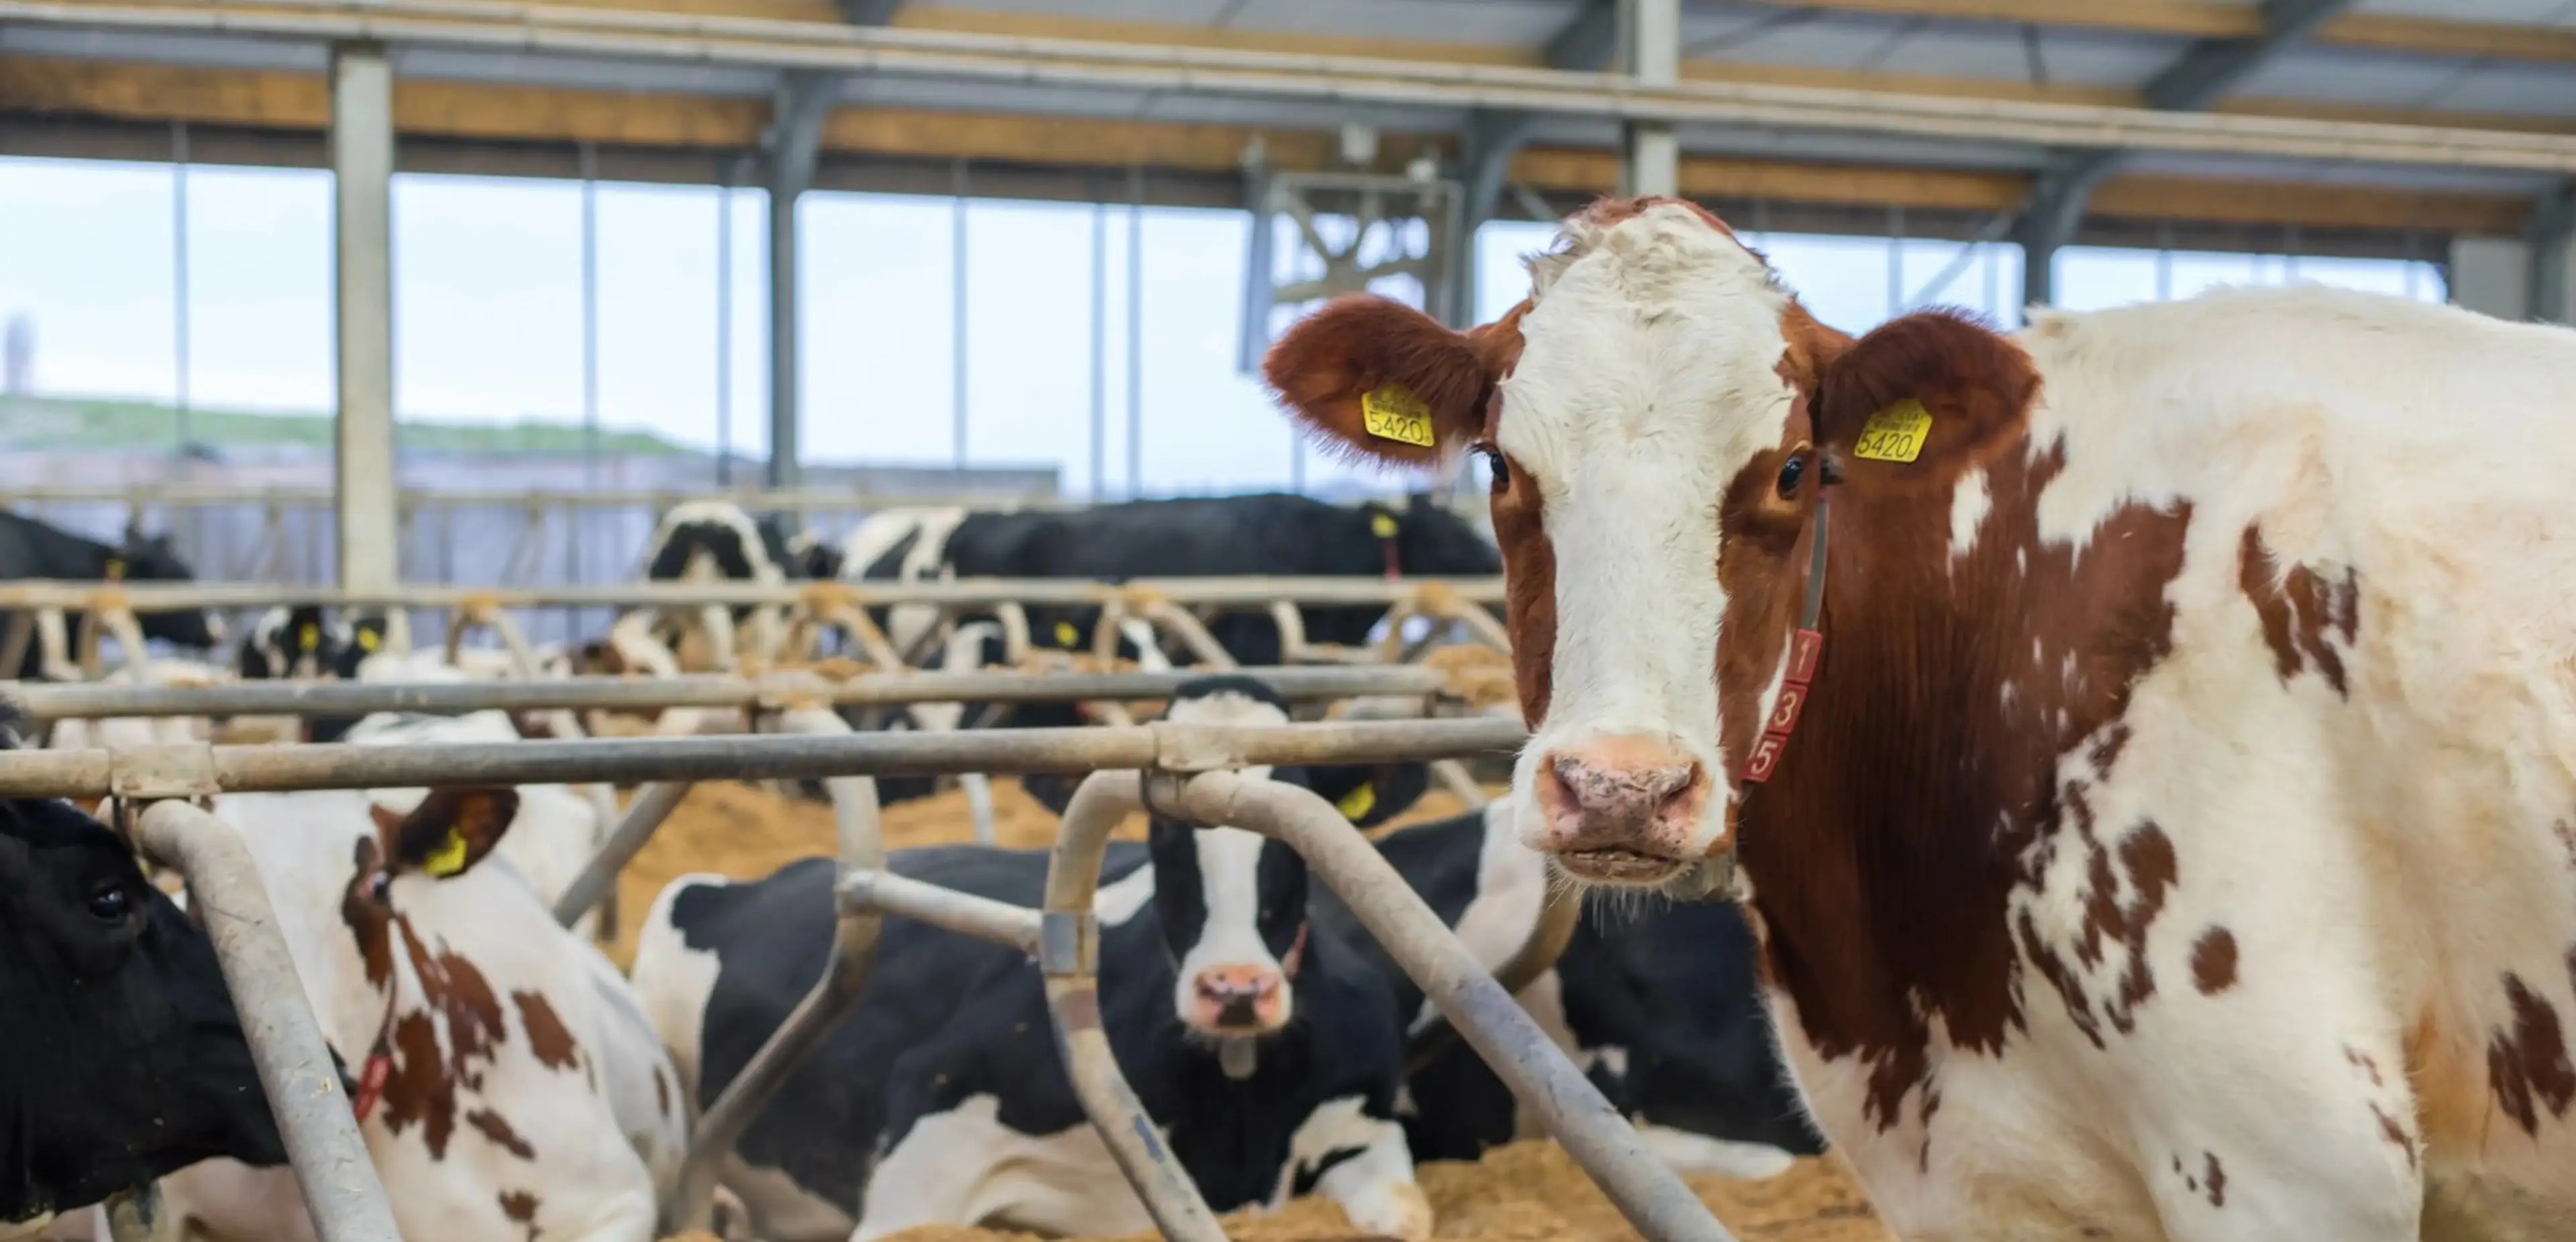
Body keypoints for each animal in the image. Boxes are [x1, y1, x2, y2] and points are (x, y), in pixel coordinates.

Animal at [630, 676, 1432, 1241]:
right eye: (1163, 832)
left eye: (1295, 836)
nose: (1234, 989)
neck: (1232, 1096)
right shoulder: (926, 1138)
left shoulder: (1366, 1123)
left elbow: (1404, 1212)